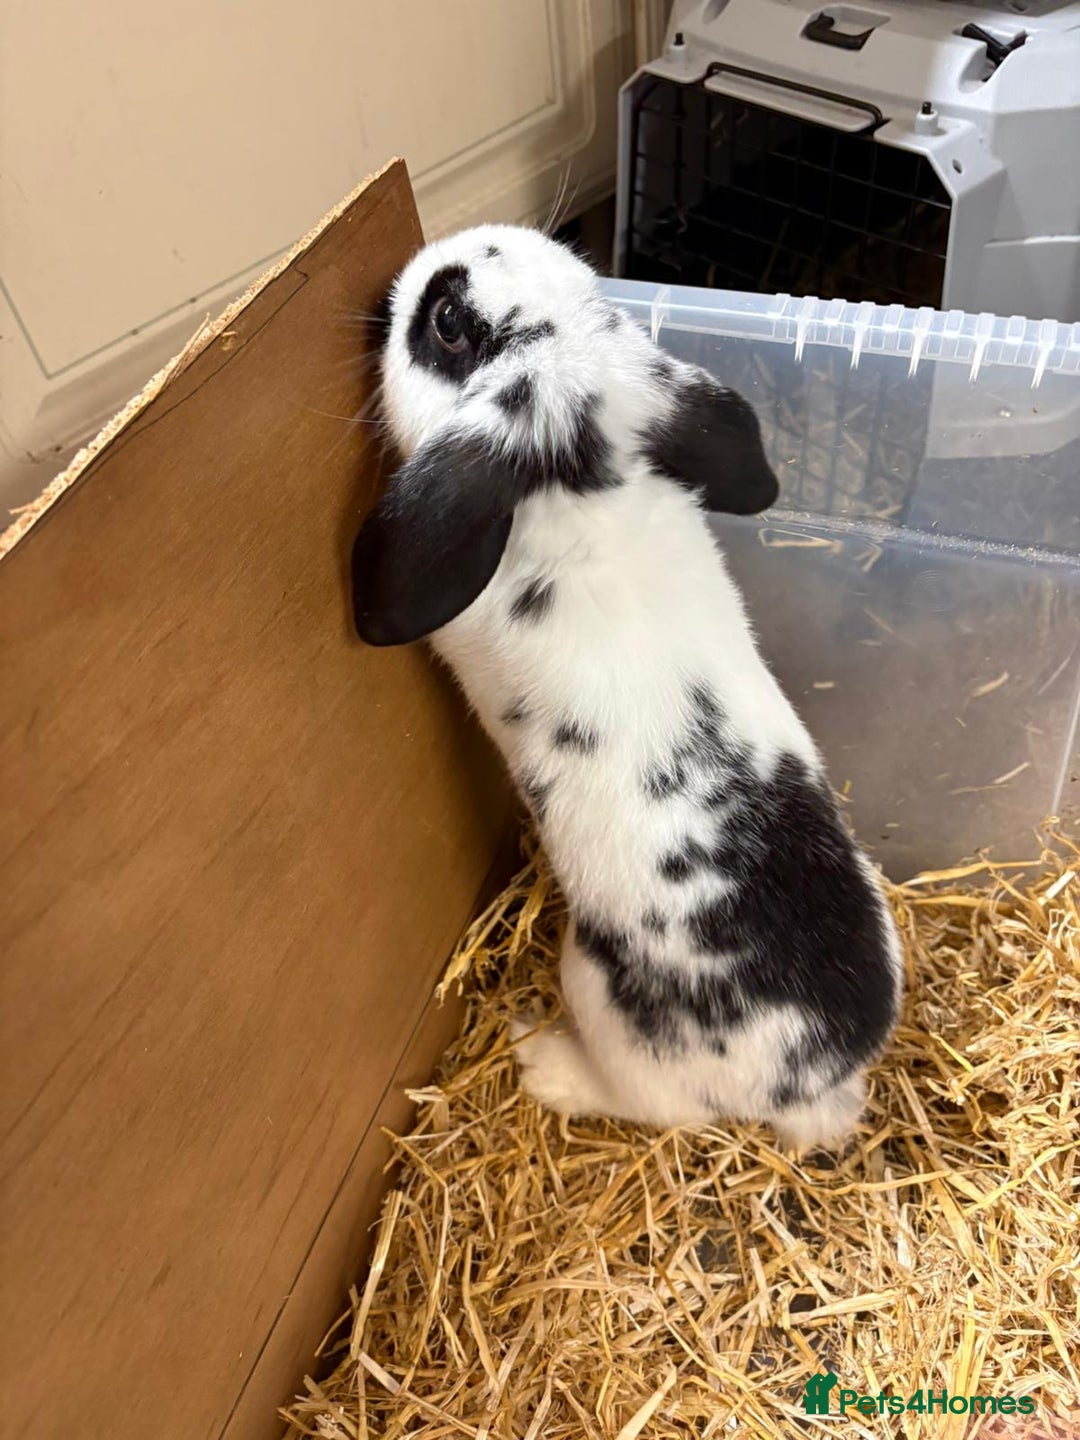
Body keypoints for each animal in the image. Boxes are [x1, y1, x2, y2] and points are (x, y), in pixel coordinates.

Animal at [350, 224, 903, 1150]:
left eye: (451, 323)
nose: (411, 268)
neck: (578, 490)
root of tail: (812, 1085)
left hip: (595, 988)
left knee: (655, 1108)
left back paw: (545, 1062)